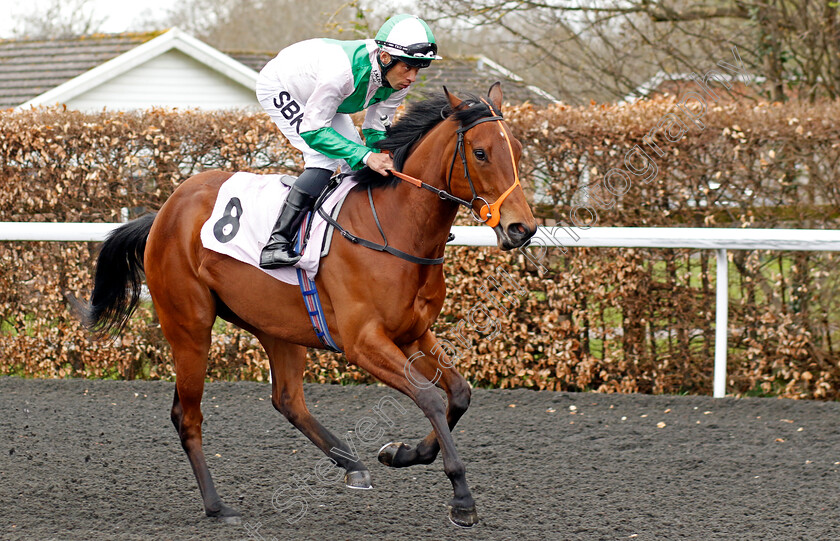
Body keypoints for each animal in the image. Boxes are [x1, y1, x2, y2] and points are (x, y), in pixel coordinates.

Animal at [85, 82, 540, 524]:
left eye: (517, 150)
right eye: (480, 153)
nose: (523, 228)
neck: (395, 229)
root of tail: (163, 210)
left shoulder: (413, 333)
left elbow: (459, 393)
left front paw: (401, 453)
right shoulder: (364, 343)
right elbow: (428, 396)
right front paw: (461, 496)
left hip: (276, 326)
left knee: (288, 400)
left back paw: (352, 464)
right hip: (189, 327)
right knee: (188, 416)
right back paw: (217, 506)